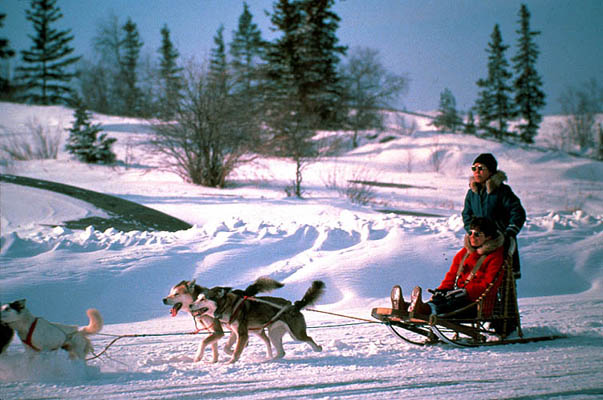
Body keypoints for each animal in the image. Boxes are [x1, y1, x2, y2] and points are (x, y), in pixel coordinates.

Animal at [192, 280, 326, 364]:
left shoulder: (242, 334)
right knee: (281, 352)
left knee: (309, 339)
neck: (229, 306)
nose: (190, 305)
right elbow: (227, 348)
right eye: (197, 298)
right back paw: (270, 360)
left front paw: (230, 362)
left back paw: (318, 349)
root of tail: (294, 306)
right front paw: (231, 353)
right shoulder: (235, 332)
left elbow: (236, 351)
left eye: (203, 299)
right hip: (273, 333)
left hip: (296, 334)